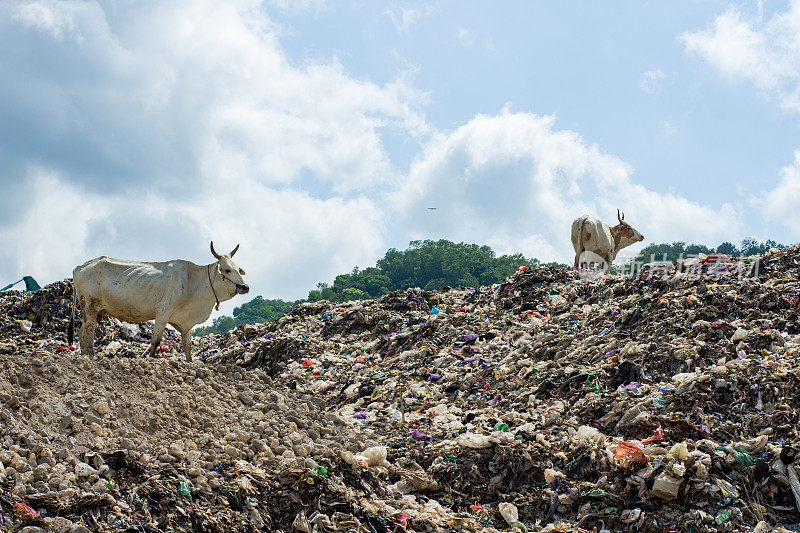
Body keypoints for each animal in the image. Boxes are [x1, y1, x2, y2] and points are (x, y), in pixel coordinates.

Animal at [70, 242, 248, 362]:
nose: (245, 287)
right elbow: (155, 341)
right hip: (90, 308)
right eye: (227, 270)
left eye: (238, 269)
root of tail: (79, 267)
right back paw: (90, 358)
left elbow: (188, 346)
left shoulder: (185, 322)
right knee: (87, 334)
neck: (194, 281)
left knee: (82, 333)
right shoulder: (163, 312)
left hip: (97, 312)